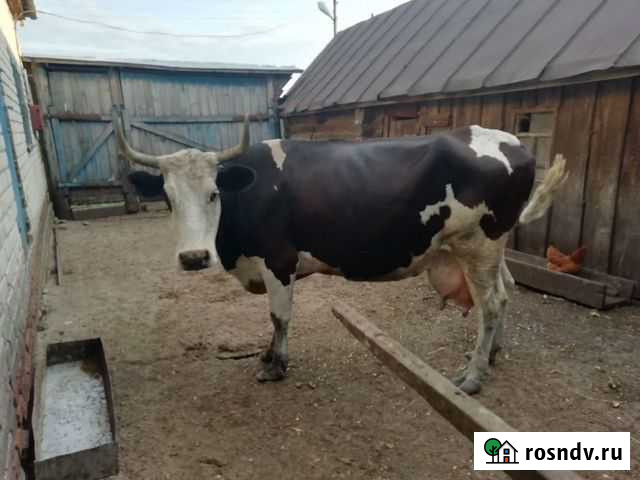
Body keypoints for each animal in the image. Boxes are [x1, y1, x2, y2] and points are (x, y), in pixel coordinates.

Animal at [116, 118, 567, 394]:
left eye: (214, 193)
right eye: (168, 198)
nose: (193, 257)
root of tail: (513, 143)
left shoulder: (279, 260)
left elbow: (279, 317)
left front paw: (275, 365)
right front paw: (267, 356)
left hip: (478, 243)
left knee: (490, 304)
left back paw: (472, 376)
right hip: (490, 249)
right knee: (506, 291)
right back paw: (491, 356)